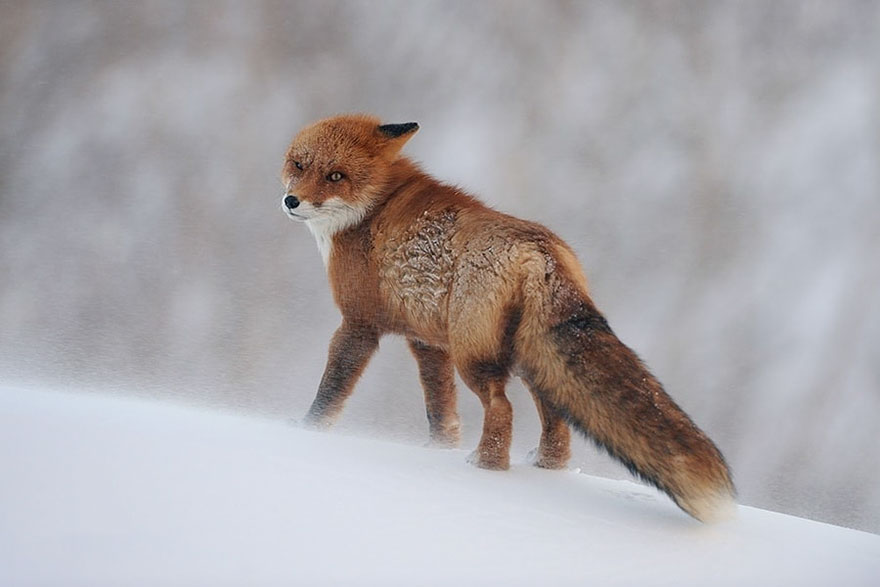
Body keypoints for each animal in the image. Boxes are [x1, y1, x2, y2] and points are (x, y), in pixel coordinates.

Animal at [280, 114, 736, 522]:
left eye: (336, 176)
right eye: (299, 165)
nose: (291, 201)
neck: (372, 208)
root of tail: (540, 251)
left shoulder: (359, 324)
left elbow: (331, 391)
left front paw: (306, 430)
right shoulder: (427, 341)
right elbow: (440, 408)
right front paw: (438, 450)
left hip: (476, 356)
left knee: (502, 408)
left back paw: (486, 467)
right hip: (532, 359)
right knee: (555, 418)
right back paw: (545, 466)